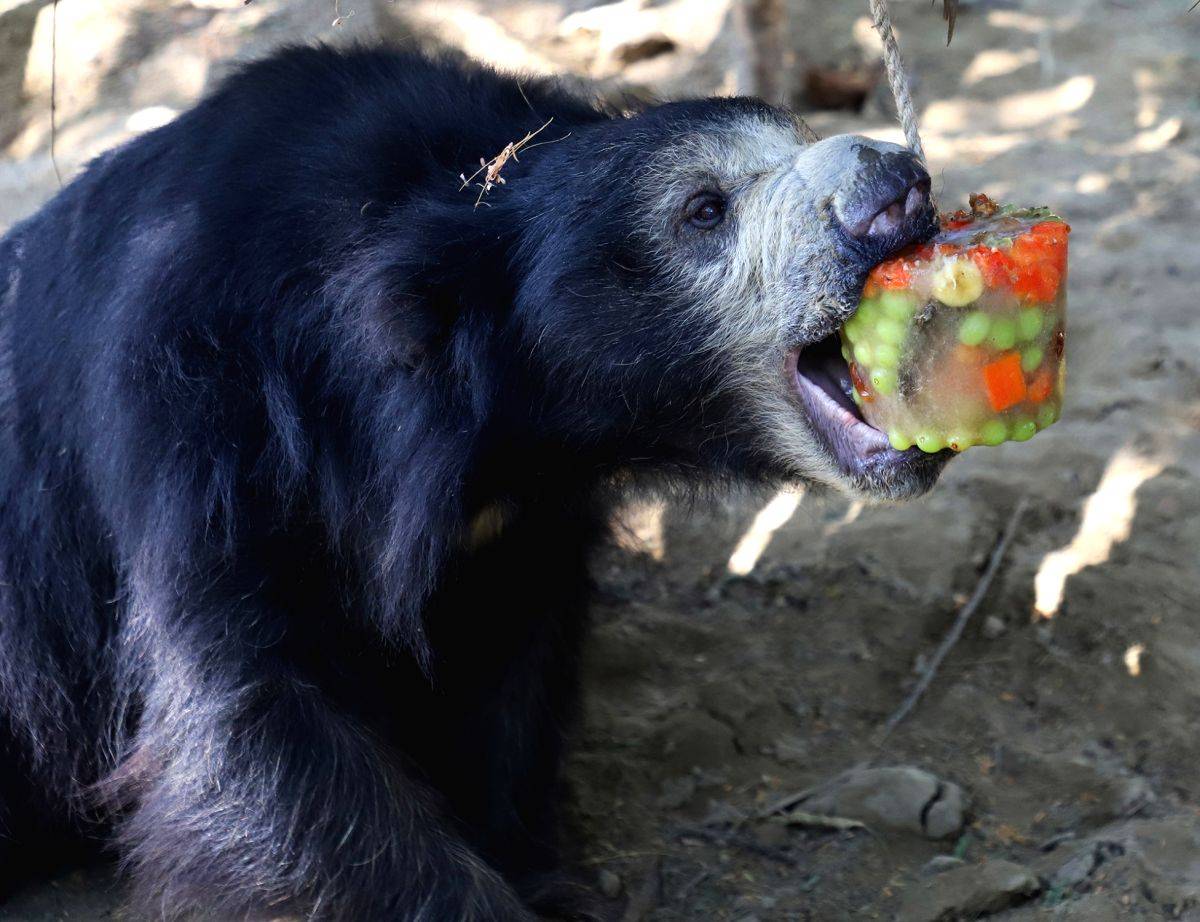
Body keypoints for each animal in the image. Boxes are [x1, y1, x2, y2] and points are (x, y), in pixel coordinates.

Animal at [0, 45, 946, 920]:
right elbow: (259, 724)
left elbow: (506, 682)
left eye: (801, 136)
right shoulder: (201, 422)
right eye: (702, 209)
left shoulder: (514, 528)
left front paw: (533, 873)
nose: (896, 182)